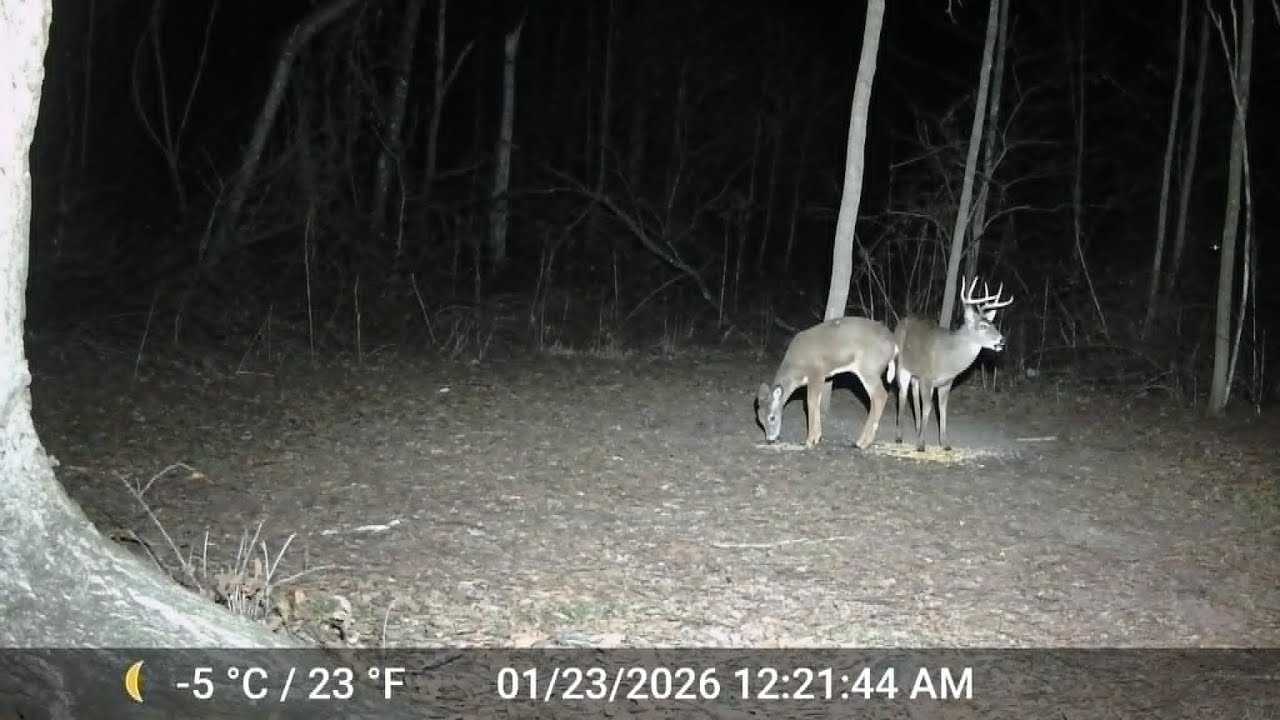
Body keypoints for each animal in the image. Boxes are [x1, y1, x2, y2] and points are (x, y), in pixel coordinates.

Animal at [756, 316, 899, 449]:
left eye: (772, 417)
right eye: (760, 420)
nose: (770, 440)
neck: (796, 368)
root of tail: (894, 344)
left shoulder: (817, 373)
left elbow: (810, 402)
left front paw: (810, 440)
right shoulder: (822, 377)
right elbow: (817, 403)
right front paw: (817, 437)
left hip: (869, 368)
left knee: (879, 396)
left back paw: (862, 443)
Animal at [894, 275, 1014, 452]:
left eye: (993, 324)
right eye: (983, 326)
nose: (1002, 341)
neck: (949, 358)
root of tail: (901, 322)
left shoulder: (946, 382)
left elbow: (942, 409)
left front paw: (945, 444)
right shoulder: (927, 378)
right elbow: (928, 408)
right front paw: (921, 444)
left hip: (916, 374)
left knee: (913, 393)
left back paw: (917, 429)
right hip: (902, 366)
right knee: (902, 395)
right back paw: (899, 436)